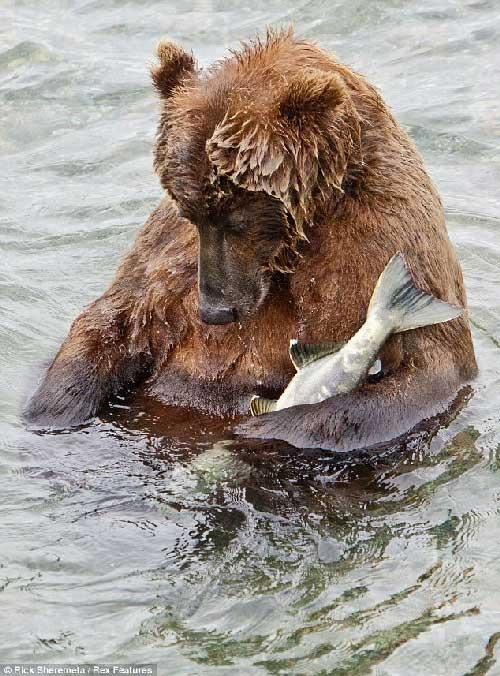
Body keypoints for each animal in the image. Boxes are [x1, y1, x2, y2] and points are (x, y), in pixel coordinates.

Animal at [24, 27, 476, 448]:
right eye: (191, 212)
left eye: (237, 217)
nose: (214, 310)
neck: (297, 242)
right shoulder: (169, 256)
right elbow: (118, 316)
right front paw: (56, 403)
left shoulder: (380, 238)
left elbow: (429, 370)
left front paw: (262, 428)